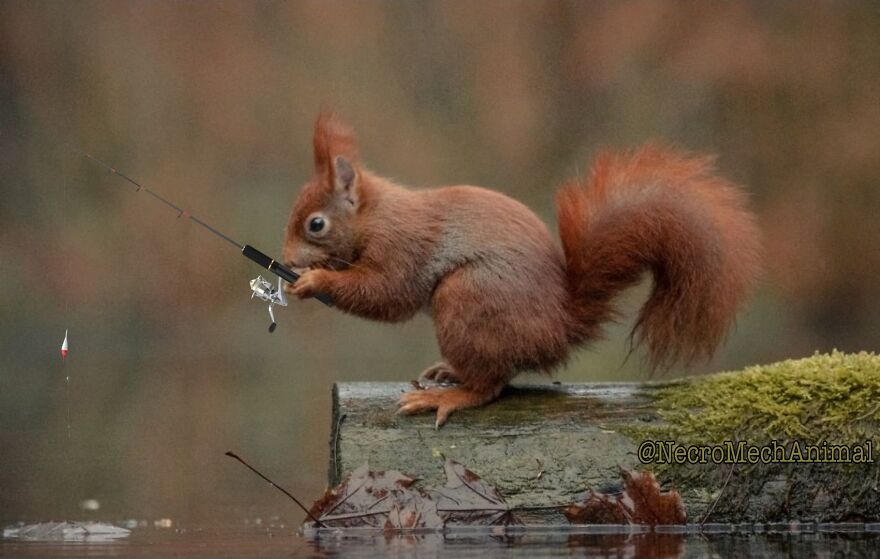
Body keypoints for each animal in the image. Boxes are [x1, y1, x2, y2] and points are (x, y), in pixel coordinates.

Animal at [286, 111, 760, 426]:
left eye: (316, 224)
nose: (287, 260)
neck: (373, 216)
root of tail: (560, 326)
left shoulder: (400, 247)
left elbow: (387, 294)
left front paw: (315, 280)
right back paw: (449, 372)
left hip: (466, 298)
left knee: (489, 386)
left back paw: (448, 396)